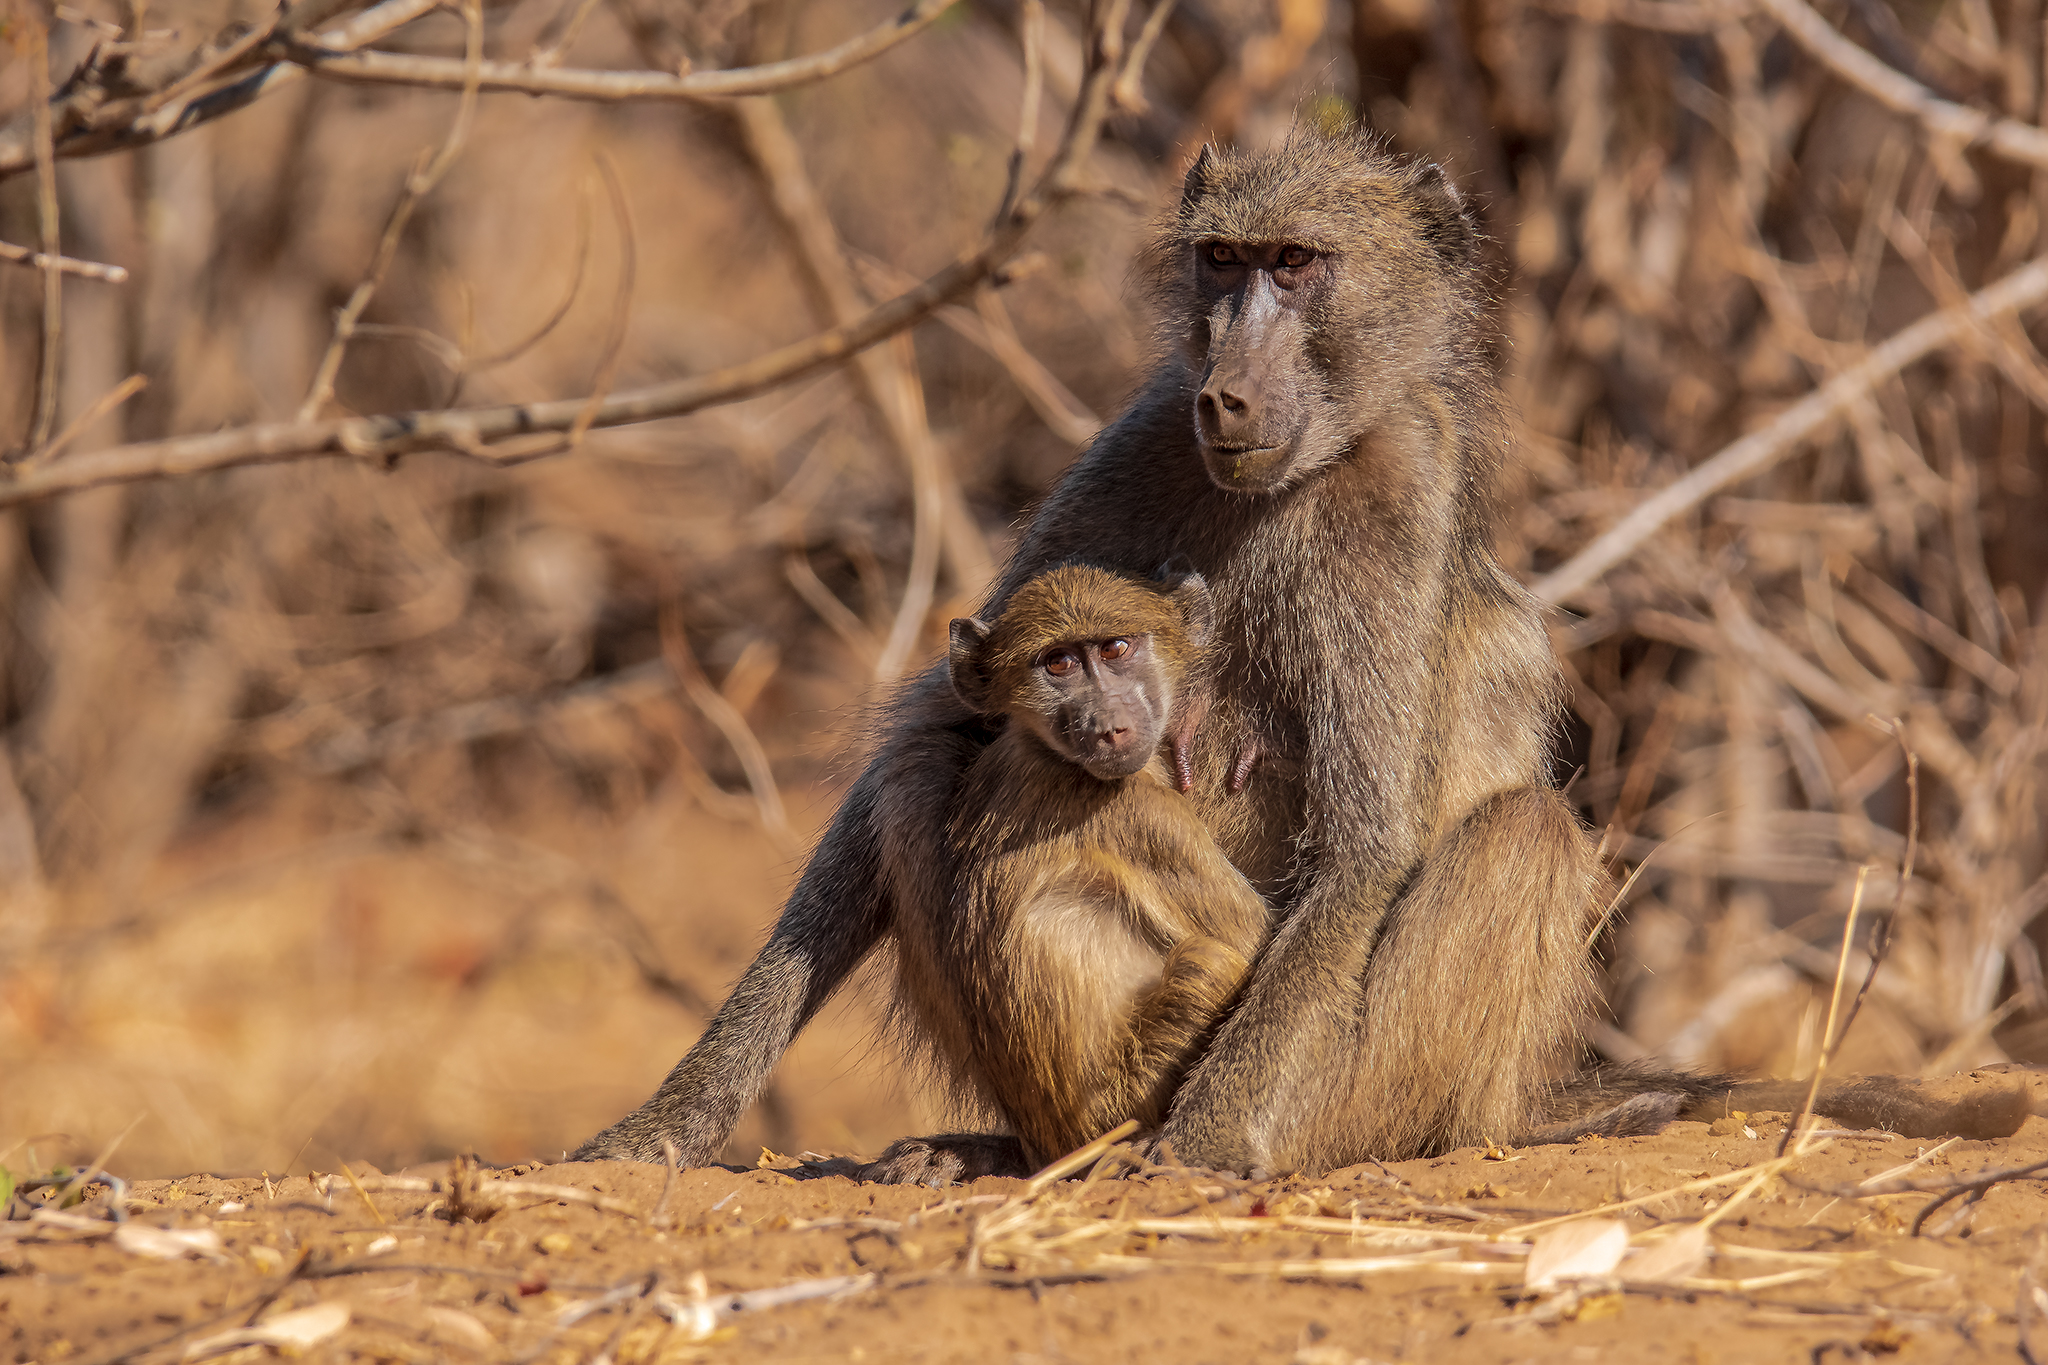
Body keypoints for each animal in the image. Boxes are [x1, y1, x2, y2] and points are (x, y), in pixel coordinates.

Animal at [575, 129, 2017, 1178]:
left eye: (1299, 264)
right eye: (1221, 261)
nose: (1227, 390)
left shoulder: (1395, 504)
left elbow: (1369, 842)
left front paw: (1199, 1149)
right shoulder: (1140, 441)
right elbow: (948, 719)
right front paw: (666, 1121)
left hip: (1361, 1090)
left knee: (1518, 839)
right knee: (934, 762)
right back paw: (996, 1148)